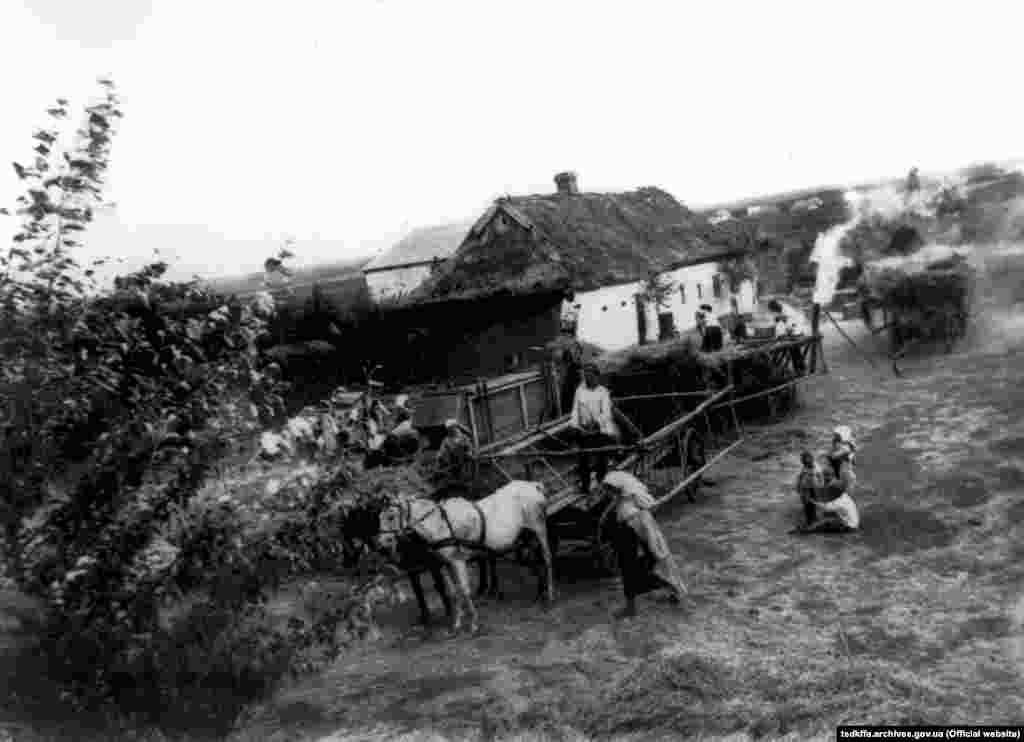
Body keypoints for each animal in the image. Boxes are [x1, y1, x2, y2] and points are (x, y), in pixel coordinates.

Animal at [374, 483, 552, 634]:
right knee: (535, 562)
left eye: (390, 516)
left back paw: (549, 597)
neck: (440, 523)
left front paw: (473, 623)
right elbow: (454, 592)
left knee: (547, 559)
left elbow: (465, 590)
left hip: (539, 529)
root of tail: (533, 486)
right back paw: (540, 594)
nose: (382, 545)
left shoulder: (458, 561)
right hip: (526, 537)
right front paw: (457, 623)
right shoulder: (447, 563)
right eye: (379, 517)